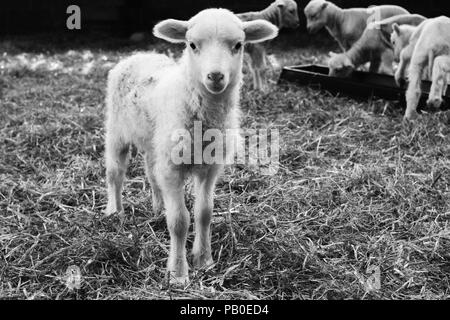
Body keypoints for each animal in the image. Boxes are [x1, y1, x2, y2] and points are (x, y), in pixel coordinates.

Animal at [104, 7, 278, 284]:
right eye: (192, 45)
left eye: (238, 45)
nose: (215, 76)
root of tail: (139, 54)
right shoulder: (173, 169)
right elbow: (179, 221)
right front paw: (178, 273)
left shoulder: (210, 167)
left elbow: (204, 212)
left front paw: (204, 260)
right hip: (117, 130)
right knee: (115, 173)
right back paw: (114, 211)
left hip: (155, 141)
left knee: (151, 173)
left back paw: (157, 209)